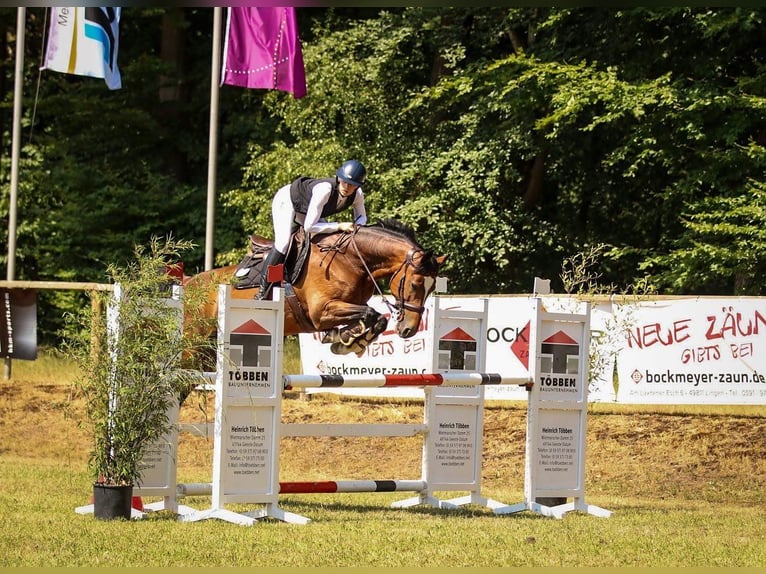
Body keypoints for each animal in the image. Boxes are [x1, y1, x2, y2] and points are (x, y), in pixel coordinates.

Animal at [184, 218, 450, 362]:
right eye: (416, 283)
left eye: (432, 288)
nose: (408, 329)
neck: (351, 259)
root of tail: (188, 285)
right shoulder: (322, 311)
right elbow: (370, 313)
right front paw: (347, 339)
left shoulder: (343, 308)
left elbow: (376, 318)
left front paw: (347, 338)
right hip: (194, 346)